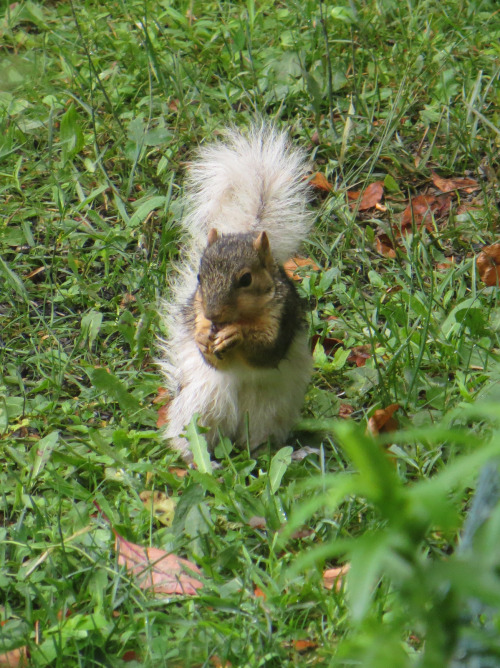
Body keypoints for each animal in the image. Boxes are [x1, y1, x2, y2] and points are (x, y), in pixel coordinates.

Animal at [160, 124, 314, 460]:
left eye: (246, 279)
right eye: (199, 276)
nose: (213, 314)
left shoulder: (282, 317)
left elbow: (267, 351)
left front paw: (237, 336)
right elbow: (211, 358)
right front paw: (203, 338)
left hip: (268, 414)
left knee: (259, 445)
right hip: (201, 405)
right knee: (193, 436)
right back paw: (198, 460)